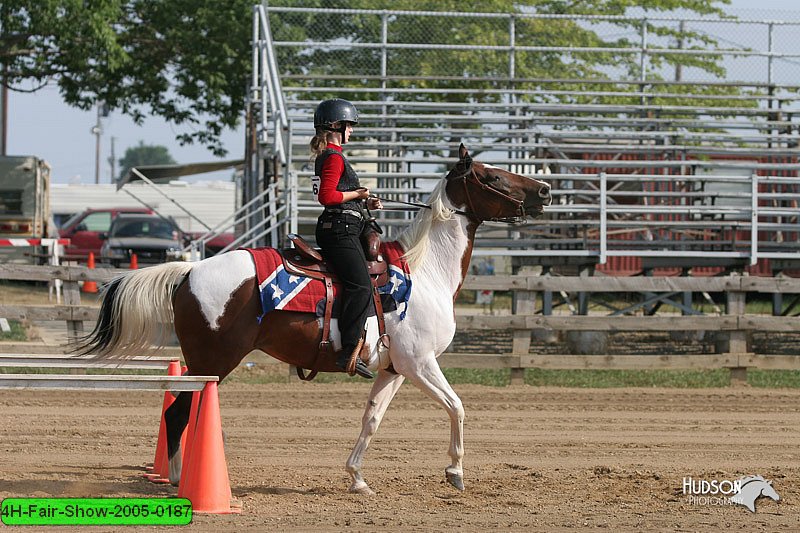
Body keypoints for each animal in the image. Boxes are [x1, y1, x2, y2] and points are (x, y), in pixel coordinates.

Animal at [75, 142, 552, 494]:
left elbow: (372, 418)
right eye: (492, 176)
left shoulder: (395, 369)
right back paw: (177, 481)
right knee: (177, 414)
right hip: (211, 363)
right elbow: (457, 406)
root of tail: (188, 271)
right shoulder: (420, 363)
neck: (425, 271)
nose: (545, 190)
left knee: (178, 412)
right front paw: (455, 472)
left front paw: (357, 478)